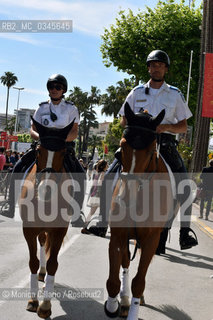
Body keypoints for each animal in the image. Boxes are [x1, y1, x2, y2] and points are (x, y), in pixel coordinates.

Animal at [19, 119, 75, 318]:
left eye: (63, 152)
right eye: (38, 151)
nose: (46, 190)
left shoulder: (59, 230)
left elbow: (53, 264)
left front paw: (45, 305)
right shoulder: (28, 229)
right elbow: (32, 262)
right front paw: (33, 300)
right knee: (43, 242)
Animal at [104, 102, 174, 320]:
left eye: (152, 151)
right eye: (120, 150)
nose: (126, 198)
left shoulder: (151, 239)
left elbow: (139, 281)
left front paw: (133, 309)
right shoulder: (118, 235)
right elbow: (114, 279)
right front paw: (113, 305)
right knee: (126, 264)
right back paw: (125, 301)